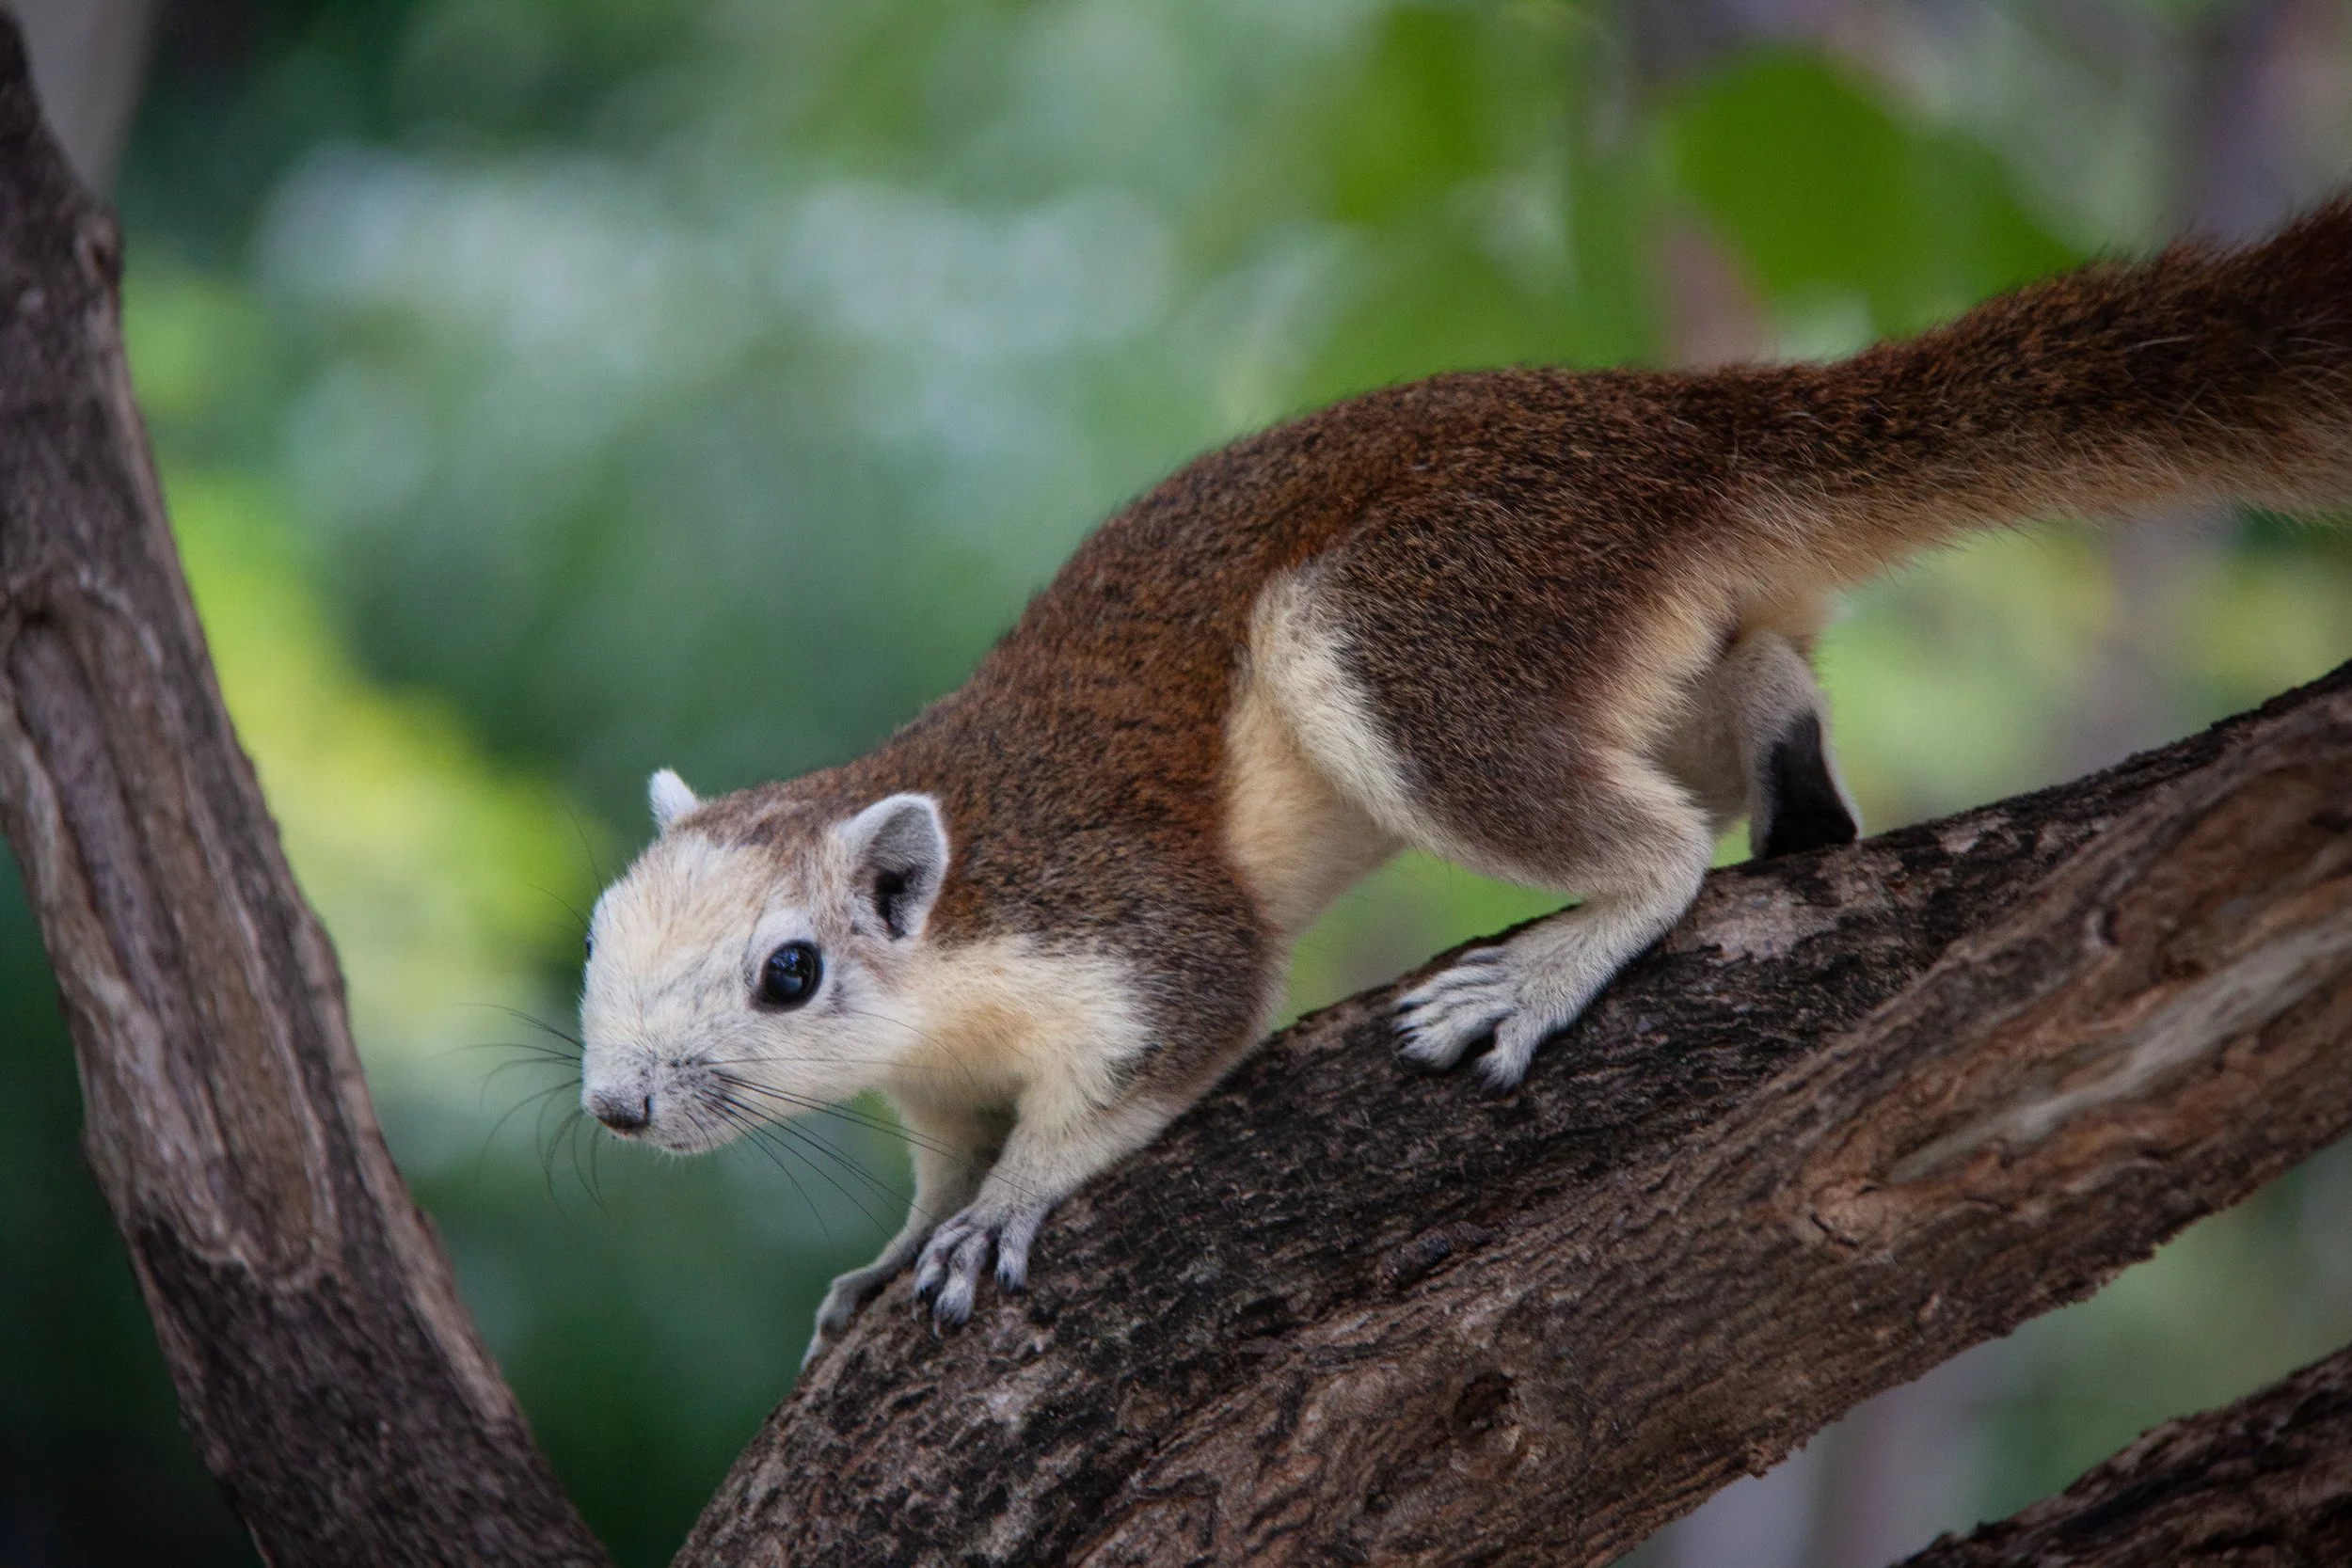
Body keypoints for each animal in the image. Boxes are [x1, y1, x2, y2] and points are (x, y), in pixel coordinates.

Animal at [578, 200, 2352, 1369]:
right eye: (596, 942)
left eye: (789, 971)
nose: (612, 1108)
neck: (947, 978)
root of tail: (1667, 430)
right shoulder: (942, 1075)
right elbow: (937, 1154)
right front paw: (889, 1254)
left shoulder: (1120, 920)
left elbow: (1173, 1034)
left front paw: (1006, 1209)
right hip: (1620, 644)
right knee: (1756, 678)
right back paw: (1793, 782)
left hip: (1404, 621)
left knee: (1663, 836)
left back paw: (1554, 960)